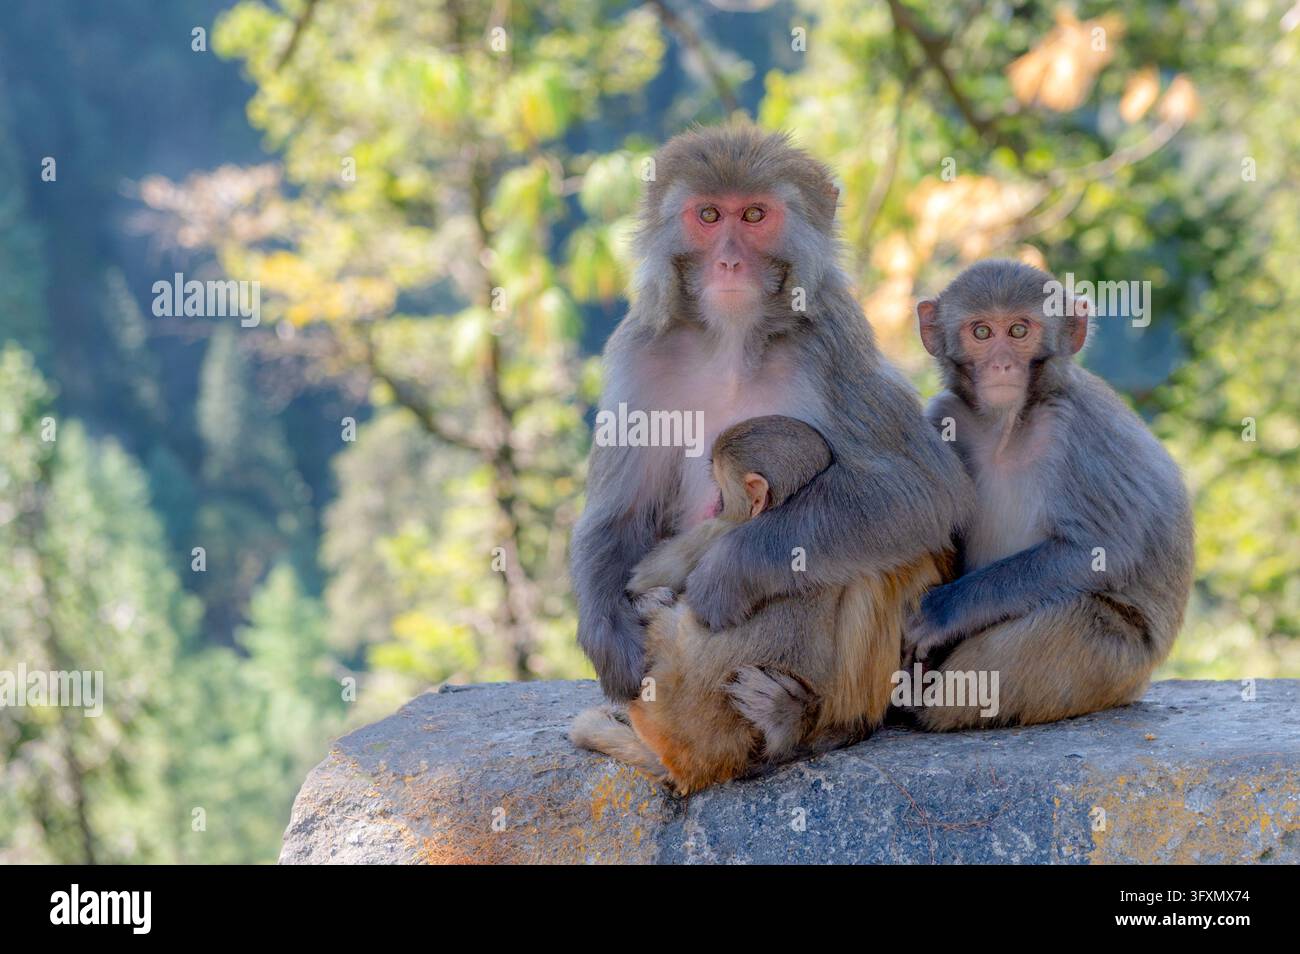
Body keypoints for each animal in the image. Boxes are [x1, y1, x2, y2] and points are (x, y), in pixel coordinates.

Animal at [568, 124, 969, 770]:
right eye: (709, 215)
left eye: (754, 215)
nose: (730, 259)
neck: (733, 340)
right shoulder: (639, 350)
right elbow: (619, 513)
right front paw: (614, 644)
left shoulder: (834, 341)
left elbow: (922, 492)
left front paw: (727, 572)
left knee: (885, 553)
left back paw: (805, 727)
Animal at [903, 258, 1195, 731]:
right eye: (981, 332)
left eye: (1019, 331)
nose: (1002, 365)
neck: (1007, 425)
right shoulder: (944, 414)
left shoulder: (1076, 429)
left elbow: (1102, 550)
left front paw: (942, 612)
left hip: (1117, 665)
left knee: (1061, 624)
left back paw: (924, 704)